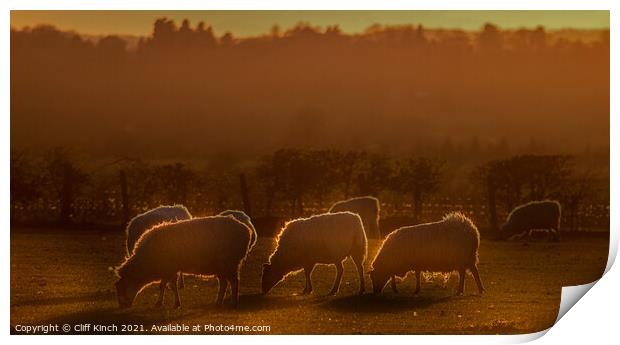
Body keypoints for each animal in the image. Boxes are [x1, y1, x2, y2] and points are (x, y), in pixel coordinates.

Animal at [114, 216, 252, 308]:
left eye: (122, 288)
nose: (123, 307)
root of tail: (246, 230)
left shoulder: (169, 269)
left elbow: (170, 286)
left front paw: (175, 303)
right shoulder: (167, 269)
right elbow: (163, 286)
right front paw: (161, 303)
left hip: (230, 262)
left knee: (234, 282)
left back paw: (233, 302)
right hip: (221, 266)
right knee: (224, 283)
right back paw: (218, 302)